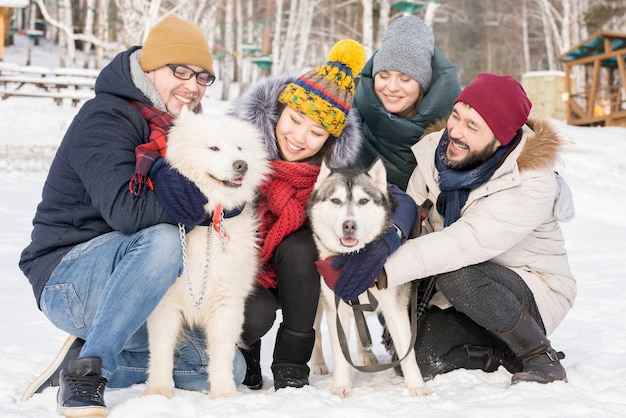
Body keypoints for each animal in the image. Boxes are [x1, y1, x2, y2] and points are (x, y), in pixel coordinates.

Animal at [304, 158, 426, 396]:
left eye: (363, 201)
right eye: (335, 200)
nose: (349, 225)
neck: (355, 259)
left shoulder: (395, 308)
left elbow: (407, 351)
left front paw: (417, 387)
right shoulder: (336, 307)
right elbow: (340, 351)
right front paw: (341, 386)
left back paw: (365, 353)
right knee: (316, 333)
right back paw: (319, 363)